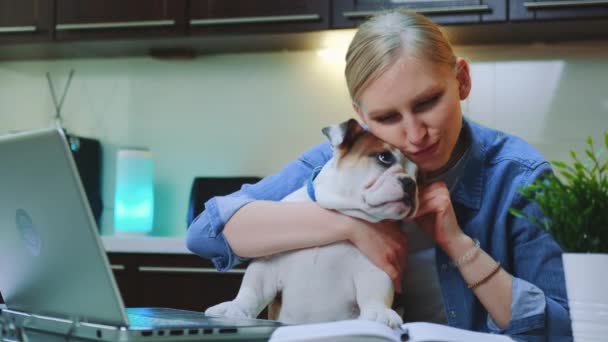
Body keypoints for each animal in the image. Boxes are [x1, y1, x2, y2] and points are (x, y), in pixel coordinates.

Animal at [205, 119, 418, 328]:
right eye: (384, 157)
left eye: (419, 176)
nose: (411, 183)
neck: (338, 212)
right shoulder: (266, 265)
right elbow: (251, 290)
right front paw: (236, 308)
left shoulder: (374, 267)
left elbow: (375, 292)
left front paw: (379, 313)